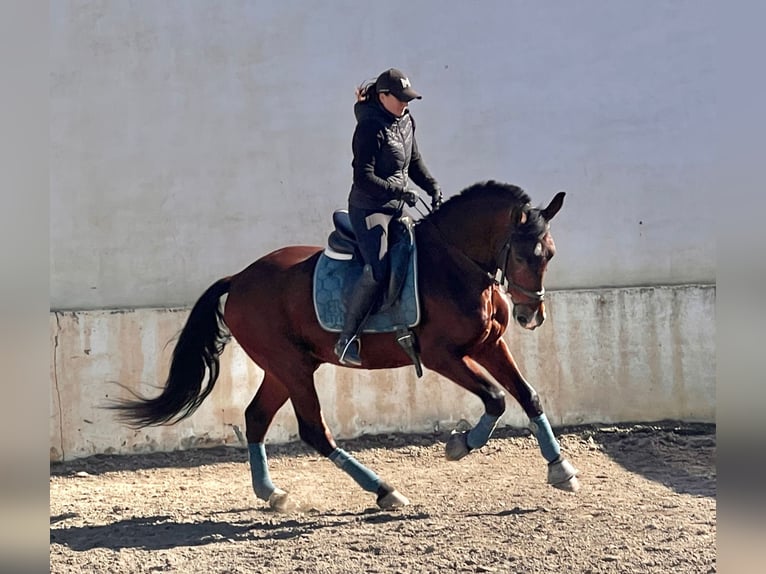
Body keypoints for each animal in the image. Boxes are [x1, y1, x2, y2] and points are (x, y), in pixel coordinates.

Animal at [111, 181, 580, 512]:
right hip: (292, 367)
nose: (531, 316)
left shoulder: (488, 346)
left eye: (550, 254)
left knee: (257, 417)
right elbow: (496, 398)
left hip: (286, 368)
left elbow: (528, 396)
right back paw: (385, 491)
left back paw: (272, 493)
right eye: (524, 256)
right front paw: (460, 445)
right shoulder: (442, 355)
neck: (453, 264)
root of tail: (240, 278)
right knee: (314, 431)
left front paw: (560, 468)